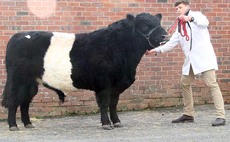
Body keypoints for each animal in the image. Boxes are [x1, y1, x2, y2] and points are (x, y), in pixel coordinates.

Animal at [1, 12, 167, 131]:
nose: (165, 35)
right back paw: (13, 126)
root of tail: (19, 35)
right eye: (145, 26)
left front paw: (117, 122)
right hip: (17, 80)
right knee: (13, 100)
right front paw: (106, 124)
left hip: (30, 83)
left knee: (25, 101)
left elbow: (113, 104)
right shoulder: (104, 84)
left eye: (159, 23)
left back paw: (28, 124)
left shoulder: (116, 85)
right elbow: (104, 104)